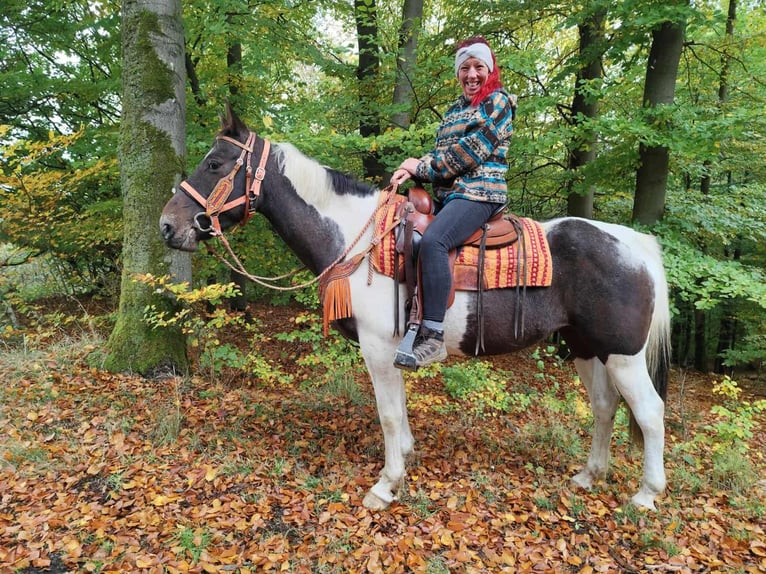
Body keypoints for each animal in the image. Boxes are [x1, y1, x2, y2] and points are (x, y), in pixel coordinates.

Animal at [160, 105, 671, 511]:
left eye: (215, 163)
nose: (168, 226)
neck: (360, 240)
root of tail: (636, 245)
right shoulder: (393, 349)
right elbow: (400, 410)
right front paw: (405, 458)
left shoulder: (377, 348)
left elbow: (388, 413)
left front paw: (386, 485)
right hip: (587, 347)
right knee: (605, 406)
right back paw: (589, 474)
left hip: (623, 355)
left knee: (649, 412)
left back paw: (646, 494)